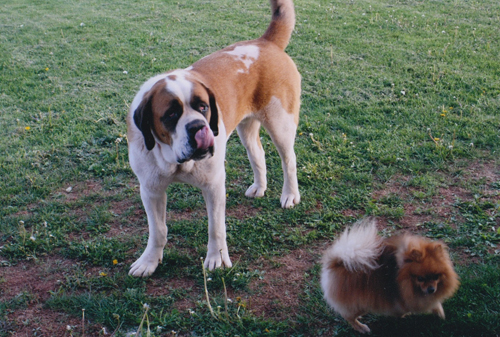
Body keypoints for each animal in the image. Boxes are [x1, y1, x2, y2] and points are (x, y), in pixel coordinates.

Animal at [129, 0, 300, 276]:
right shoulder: (151, 189)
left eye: (203, 107)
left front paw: (217, 259)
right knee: (258, 154)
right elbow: (158, 230)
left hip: (280, 124)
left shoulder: (214, 186)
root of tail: (265, 42)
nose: (198, 126)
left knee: (289, 160)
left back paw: (290, 195)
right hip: (246, 129)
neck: (174, 161)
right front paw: (149, 261)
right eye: (171, 114)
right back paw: (259, 187)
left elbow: (216, 227)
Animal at [322, 218, 458, 334]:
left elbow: (435, 304)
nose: (431, 289)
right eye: (420, 278)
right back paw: (361, 328)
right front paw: (403, 314)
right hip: (360, 302)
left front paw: (440, 313)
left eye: (436, 277)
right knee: (348, 316)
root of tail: (337, 263)